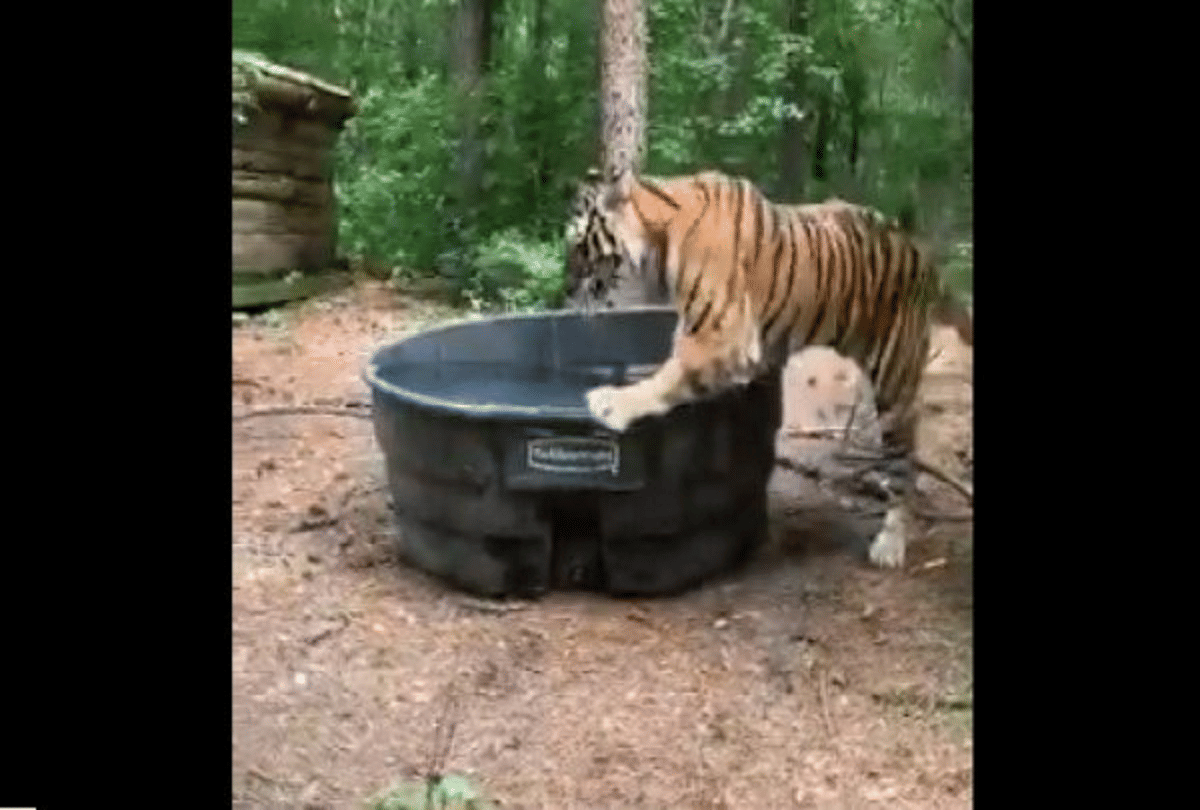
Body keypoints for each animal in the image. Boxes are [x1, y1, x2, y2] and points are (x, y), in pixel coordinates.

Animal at [564, 167, 973, 568]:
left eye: (578, 246)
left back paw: (889, 544)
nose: (566, 292)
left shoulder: (721, 334)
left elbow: (666, 377)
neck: (659, 234)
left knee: (904, 465)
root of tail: (922, 254)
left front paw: (610, 404)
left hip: (894, 381)